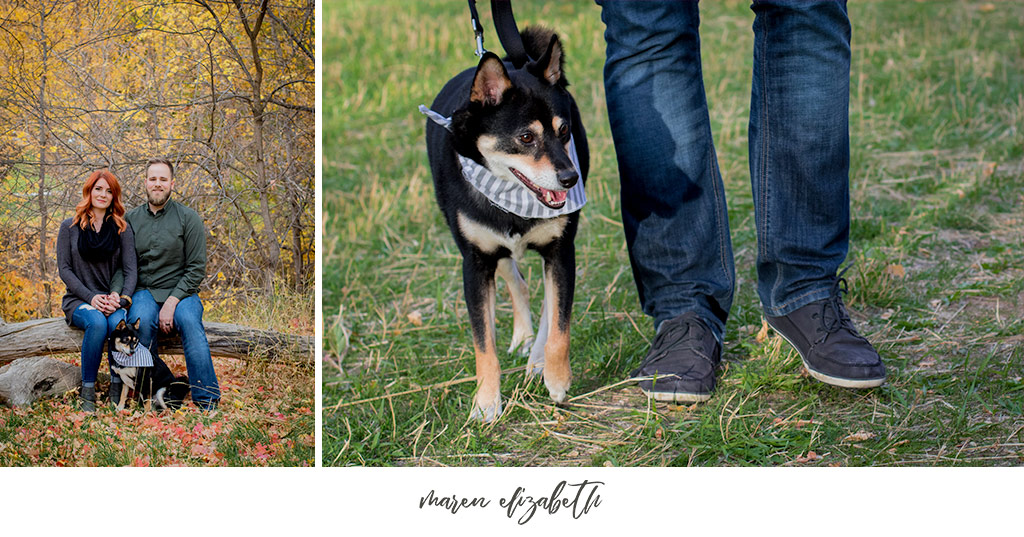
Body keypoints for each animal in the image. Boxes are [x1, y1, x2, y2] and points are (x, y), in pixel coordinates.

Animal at [421, 27, 585, 422]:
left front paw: (556, 378)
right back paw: (524, 340)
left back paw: (537, 359)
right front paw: (486, 404)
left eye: (564, 130)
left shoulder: (561, 251)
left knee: (546, 305)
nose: (570, 178)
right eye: (526, 137)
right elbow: (484, 345)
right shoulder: (475, 264)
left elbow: (559, 326)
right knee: (518, 281)